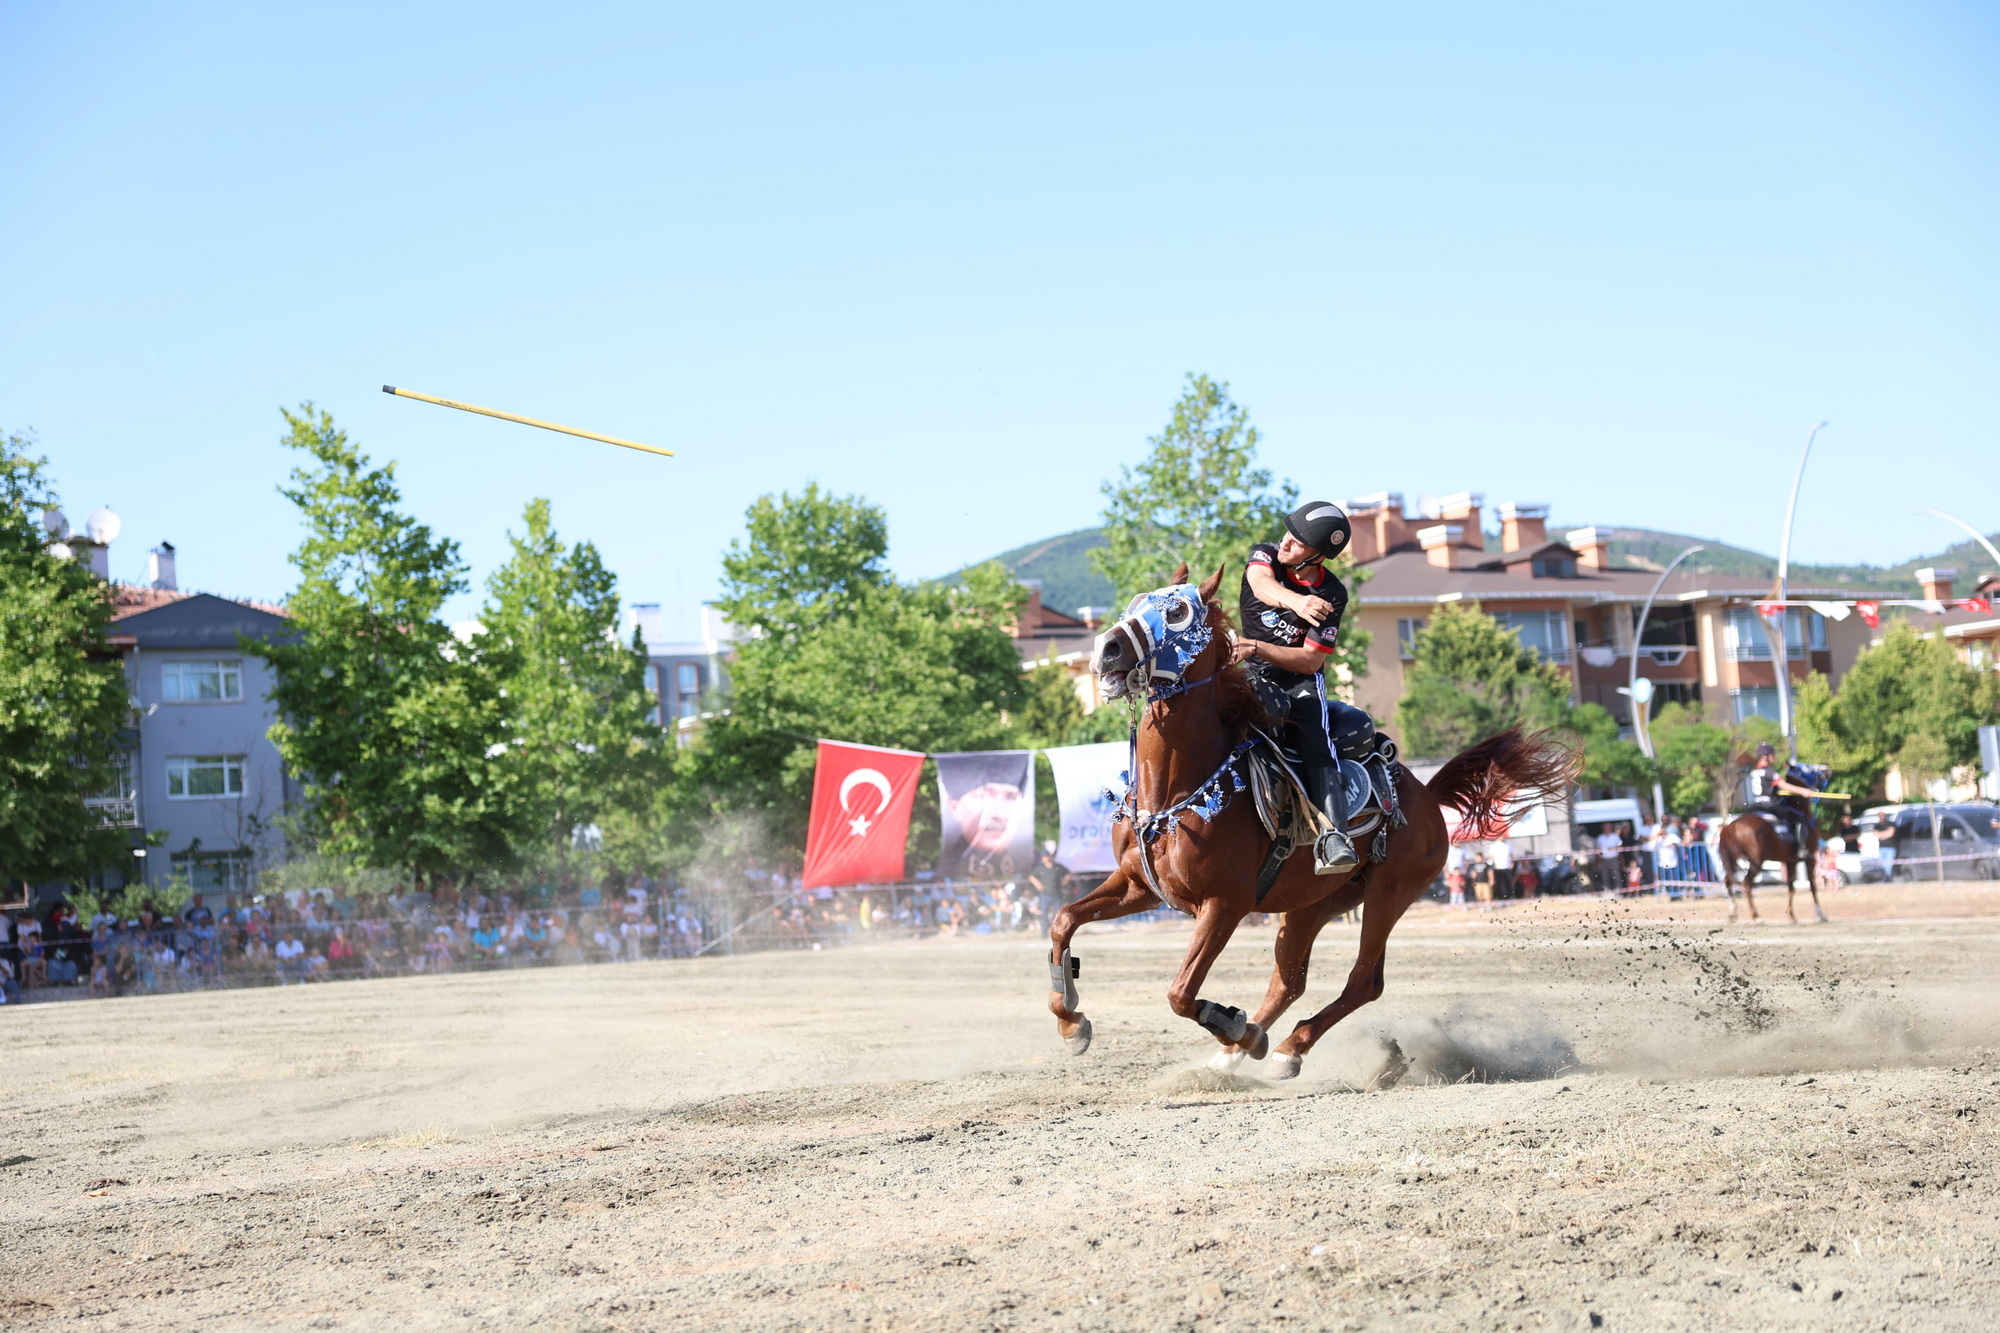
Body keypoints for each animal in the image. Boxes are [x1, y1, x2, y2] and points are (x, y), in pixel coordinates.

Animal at [1048, 556, 1576, 1072]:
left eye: (1178, 611)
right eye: (1136, 602)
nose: (1106, 649)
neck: (1178, 790)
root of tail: (1426, 795)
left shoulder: (1224, 904)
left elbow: (1180, 992)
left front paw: (1233, 1023)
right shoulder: (1140, 886)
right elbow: (1063, 920)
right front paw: (1071, 1022)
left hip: (1390, 893)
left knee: (1363, 982)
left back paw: (1283, 1048)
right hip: (1313, 904)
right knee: (1289, 981)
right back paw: (1236, 1055)